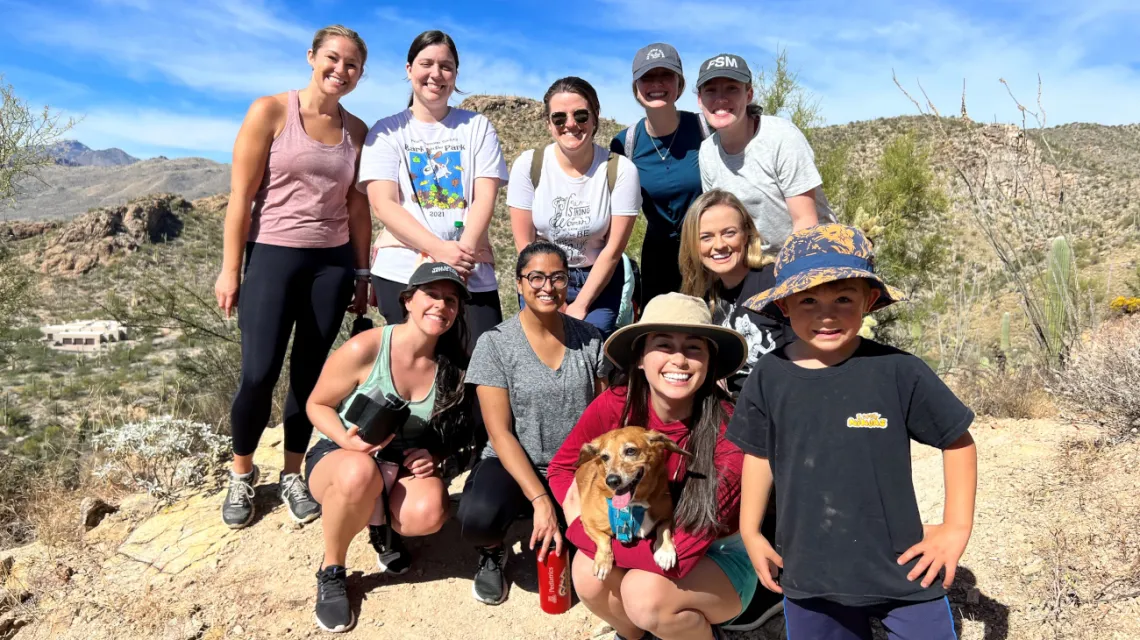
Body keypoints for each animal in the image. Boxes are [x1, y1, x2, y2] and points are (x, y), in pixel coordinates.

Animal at [574, 424, 688, 579]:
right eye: (604, 457)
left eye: (630, 451)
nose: (612, 481)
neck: (635, 504)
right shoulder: (587, 522)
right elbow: (604, 539)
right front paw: (603, 562)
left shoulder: (668, 516)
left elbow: (664, 529)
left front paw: (665, 551)